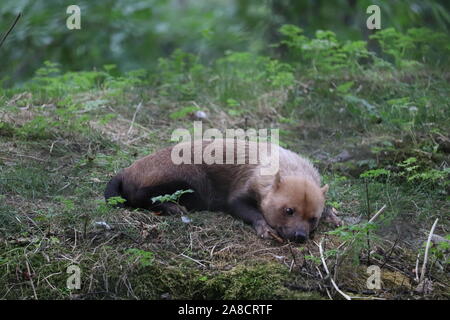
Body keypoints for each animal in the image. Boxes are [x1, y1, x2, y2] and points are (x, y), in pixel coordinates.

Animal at [104, 139, 326, 241]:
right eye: (289, 210)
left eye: (313, 218)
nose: (300, 236)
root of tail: (125, 172)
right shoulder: (243, 188)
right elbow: (240, 206)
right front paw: (264, 227)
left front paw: (331, 215)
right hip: (186, 179)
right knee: (140, 196)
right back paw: (172, 207)